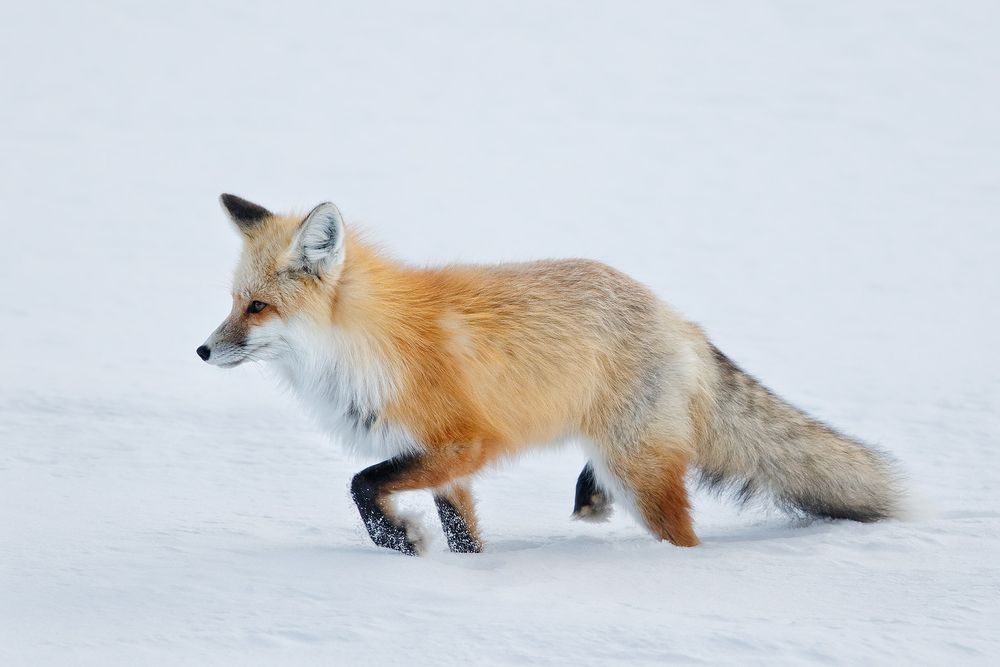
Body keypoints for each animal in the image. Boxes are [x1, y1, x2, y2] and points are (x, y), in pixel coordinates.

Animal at [199, 194, 901, 555]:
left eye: (257, 307)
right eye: (232, 302)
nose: (203, 351)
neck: (367, 346)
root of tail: (677, 318)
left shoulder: (462, 442)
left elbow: (361, 486)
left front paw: (400, 541)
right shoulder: (444, 462)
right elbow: (461, 532)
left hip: (641, 473)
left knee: (682, 535)